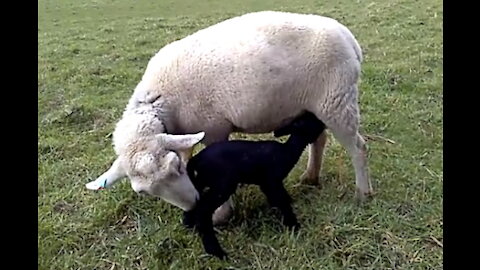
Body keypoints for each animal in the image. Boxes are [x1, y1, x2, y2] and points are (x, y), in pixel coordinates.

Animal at [85, 9, 372, 223]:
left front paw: (221, 214)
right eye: (143, 193)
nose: (193, 206)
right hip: (314, 105)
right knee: (318, 139)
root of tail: (348, 38)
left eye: (175, 168)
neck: (161, 101)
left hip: (336, 100)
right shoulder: (184, 133)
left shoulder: (214, 128)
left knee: (358, 148)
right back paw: (311, 177)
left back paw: (363, 193)